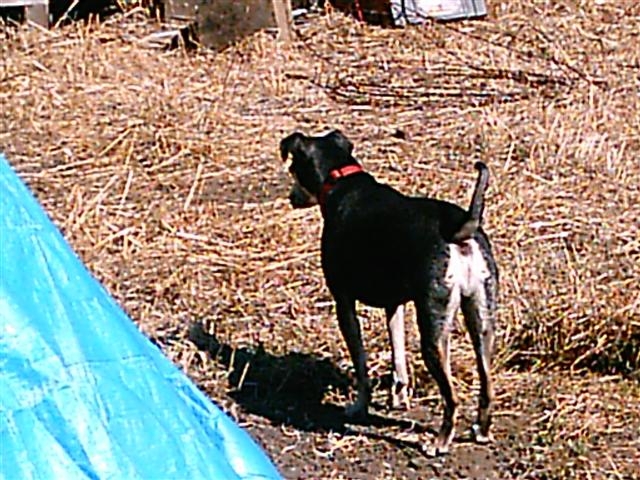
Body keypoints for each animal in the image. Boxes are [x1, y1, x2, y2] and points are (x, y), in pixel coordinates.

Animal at [280, 129, 500, 456]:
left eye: (293, 168)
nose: (291, 197)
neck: (342, 179)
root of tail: (459, 230)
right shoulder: (395, 305)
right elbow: (398, 358)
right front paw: (399, 398)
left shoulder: (343, 303)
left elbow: (361, 367)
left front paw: (359, 407)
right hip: (480, 320)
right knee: (486, 383)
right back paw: (481, 431)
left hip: (433, 330)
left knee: (452, 397)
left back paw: (440, 441)